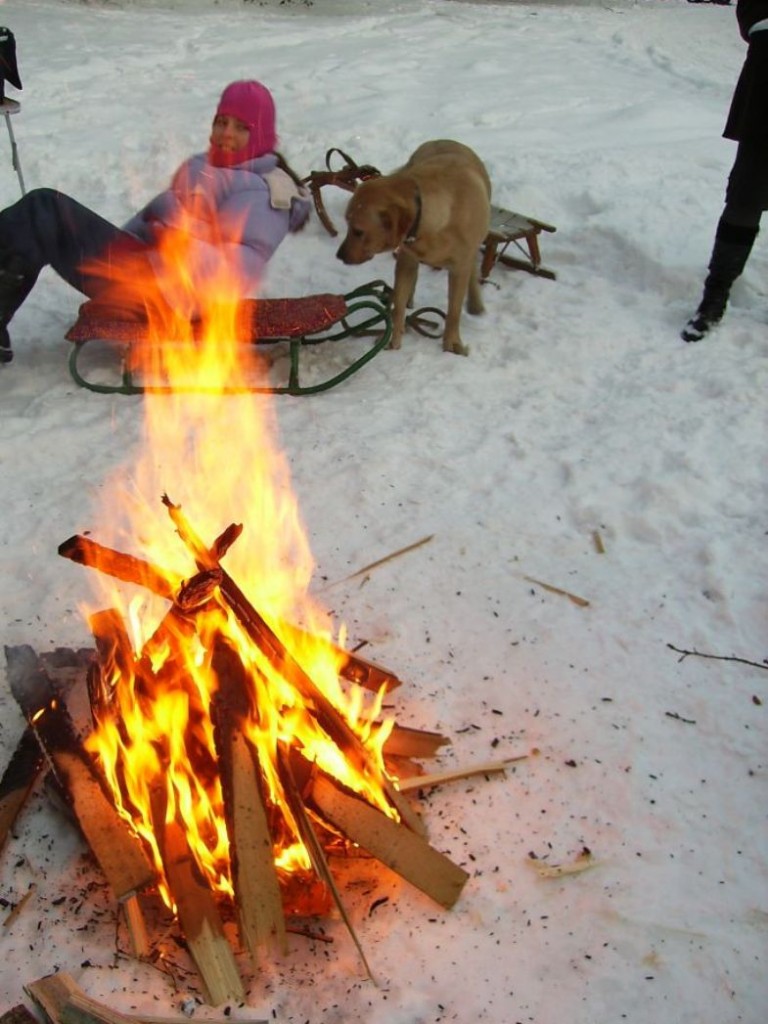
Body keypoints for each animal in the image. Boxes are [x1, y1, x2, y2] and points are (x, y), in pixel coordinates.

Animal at [335, 140, 493, 356]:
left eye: (358, 231)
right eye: (347, 224)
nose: (339, 255)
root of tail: (444, 140)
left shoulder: (459, 267)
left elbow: (454, 311)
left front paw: (452, 343)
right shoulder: (406, 257)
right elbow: (398, 306)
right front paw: (392, 339)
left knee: (472, 270)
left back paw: (475, 303)